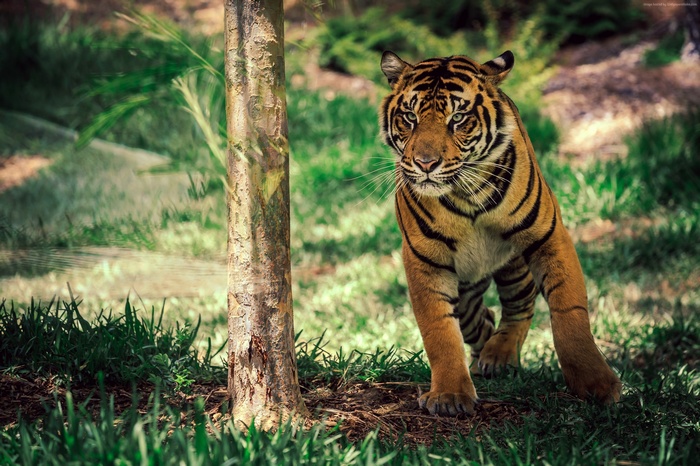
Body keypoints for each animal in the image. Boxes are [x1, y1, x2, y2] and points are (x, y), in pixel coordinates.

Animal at [379, 50, 622, 416]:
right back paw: (484, 356)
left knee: (520, 307)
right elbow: (439, 329)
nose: (425, 163)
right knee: (478, 316)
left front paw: (597, 384)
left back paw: (499, 355)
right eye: (410, 117)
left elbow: (570, 313)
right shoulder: (425, 259)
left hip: (514, 266)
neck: (465, 193)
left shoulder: (548, 236)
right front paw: (450, 395)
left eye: (458, 118)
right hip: (468, 283)